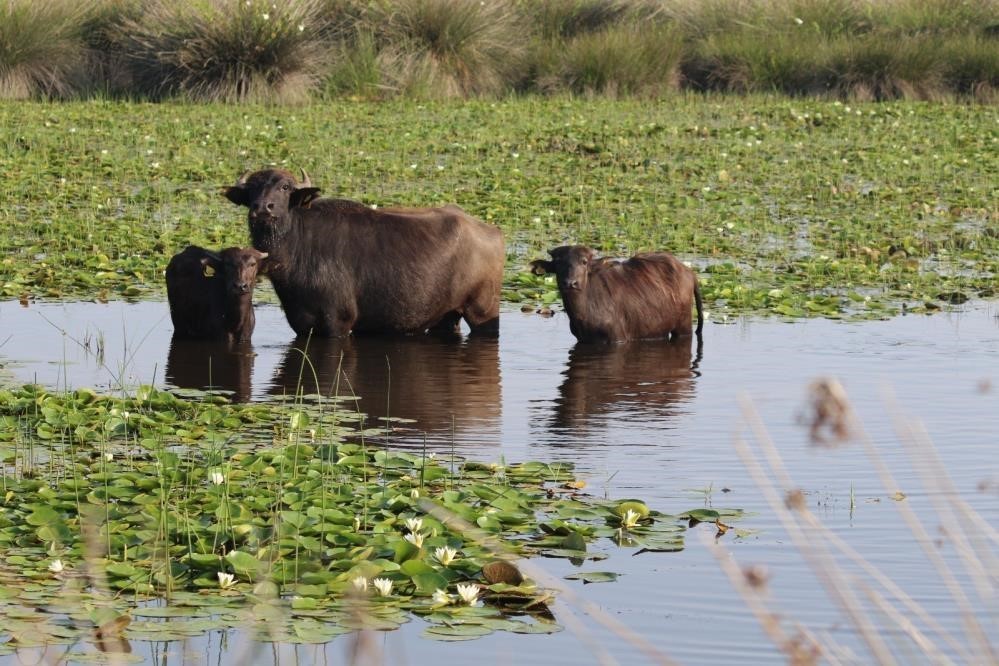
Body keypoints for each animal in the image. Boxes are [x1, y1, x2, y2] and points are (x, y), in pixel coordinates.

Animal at [223, 169, 504, 334]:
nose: (263, 208)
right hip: (448, 316)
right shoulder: (302, 323)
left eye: (285, 187)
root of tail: (493, 231)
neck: (296, 248)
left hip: (483, 312)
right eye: (252, 189)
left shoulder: (338, 322)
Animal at [532, 244, 704, 342]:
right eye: (558, 262)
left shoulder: (617, 339)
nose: (570, 283)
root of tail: (689, 272)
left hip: (684, 326)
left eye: (584, 262)